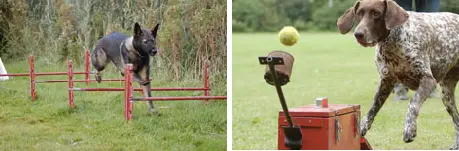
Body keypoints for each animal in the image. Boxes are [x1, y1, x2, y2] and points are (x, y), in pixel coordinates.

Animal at [338, 0, 459, 149]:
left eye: (376, 13)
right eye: (359, 13)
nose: (358, 34)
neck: (391, 42)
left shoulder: (428, 80)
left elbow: (413, 104)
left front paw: (409, 128)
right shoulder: (386, 82)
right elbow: (373, 108)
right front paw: (363, 126)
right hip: (447, 95)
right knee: (457, 122)